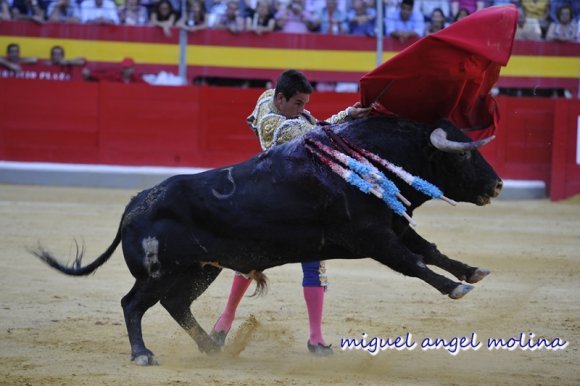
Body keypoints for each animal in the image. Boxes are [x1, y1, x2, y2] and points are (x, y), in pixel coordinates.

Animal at [31, 114, 502, 364]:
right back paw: (143, 354)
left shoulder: (394, 227)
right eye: (465, 153)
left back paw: (212, 347)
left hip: (198, 270)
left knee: (176, 304)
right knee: (133, 304)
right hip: (159, 271)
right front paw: (455, 287)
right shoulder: (371, 238)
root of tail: (134, 205)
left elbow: (428, 250)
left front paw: (471, 272)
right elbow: (412, 262)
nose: (497, 185)